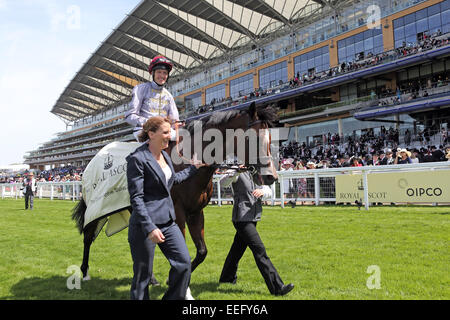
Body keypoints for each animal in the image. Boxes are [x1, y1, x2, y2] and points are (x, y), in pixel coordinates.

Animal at [71, 102, 278, 280]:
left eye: (271, 139)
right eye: (254, 138)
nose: (271, 177)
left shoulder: (195, 212)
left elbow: (201, 252)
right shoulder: (177, 211)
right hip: (96, 208)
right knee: (88, 237)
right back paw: (85, 272)